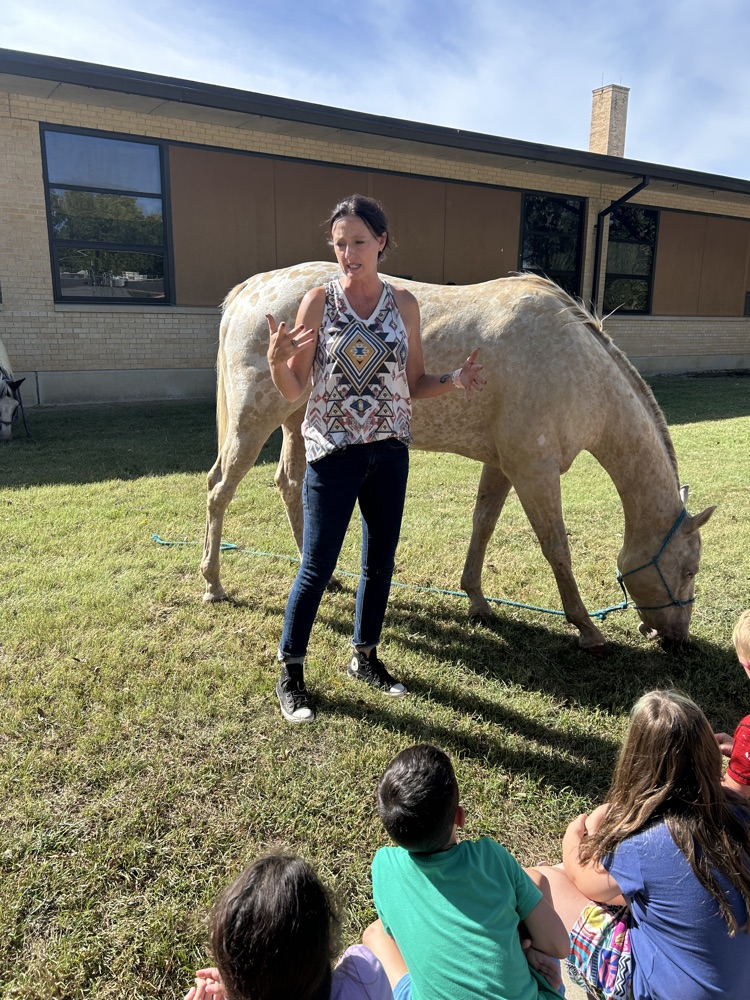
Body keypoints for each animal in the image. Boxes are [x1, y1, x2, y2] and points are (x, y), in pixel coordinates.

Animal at [201, 263, 715, 654]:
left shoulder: (503, 465)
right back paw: (212, 584)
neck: (579, 371)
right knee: (219, 491)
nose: (678, 639)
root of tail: (252, 289)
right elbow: (556, 547)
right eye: (689, 569)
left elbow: (482, 525)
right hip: (253, 422)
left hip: (296, 423)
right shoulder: (535, 471)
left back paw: (320, 577)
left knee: (288, 486)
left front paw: (477, 601)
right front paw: (586, 627)